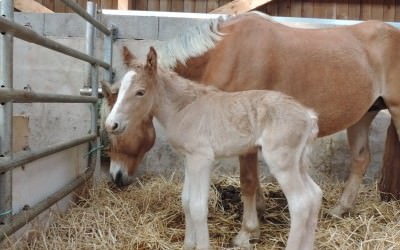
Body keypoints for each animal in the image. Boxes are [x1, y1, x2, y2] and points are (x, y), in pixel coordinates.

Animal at [104, 47, 322, 250]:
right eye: (120, 90)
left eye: (140, 92)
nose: (111, 124)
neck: (183, 108)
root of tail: (308, 116)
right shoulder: (189, 159)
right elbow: (186, 201)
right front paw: (188, 244)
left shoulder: (201, 158)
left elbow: (198, 206)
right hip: (298, 162)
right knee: (315, 195)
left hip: (282, 162)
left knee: (301, 203)